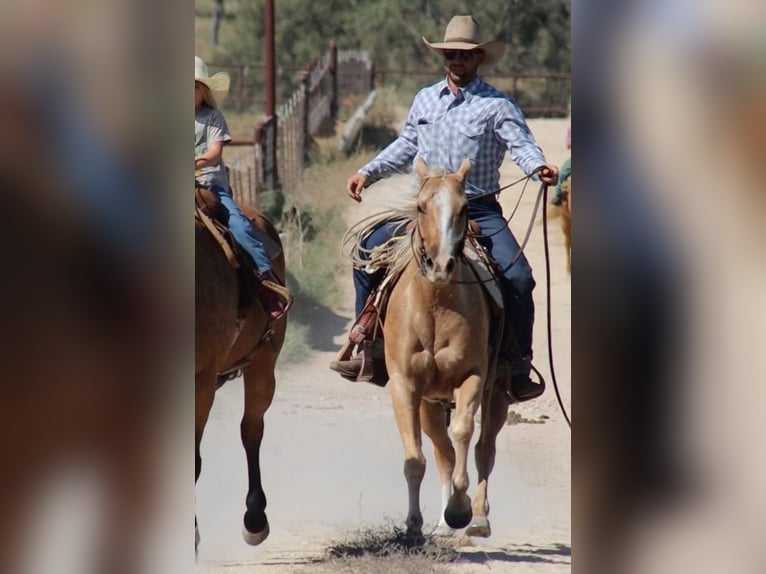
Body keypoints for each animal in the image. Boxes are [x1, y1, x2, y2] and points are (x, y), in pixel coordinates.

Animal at [382, 159, 510, 540]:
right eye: (421, 206)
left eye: (465, 207)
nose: (440, 266)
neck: (436, 303)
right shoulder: (405, 385)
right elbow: (416, 458)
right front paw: (413, 525)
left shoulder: (473, 377)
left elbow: (464, 433)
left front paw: (459, 508)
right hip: (429, 403)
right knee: (442, 453)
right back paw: (439, 522)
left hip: (498, 394)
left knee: (483, 450)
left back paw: (477, 517)